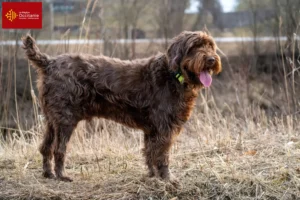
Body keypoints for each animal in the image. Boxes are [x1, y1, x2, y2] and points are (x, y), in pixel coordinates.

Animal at [22, 30, 221, 181]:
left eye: (210, 46)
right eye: (194, 47)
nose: (211, 59)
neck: (173, 75)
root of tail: (49, 63)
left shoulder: (152, 129)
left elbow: (149, 152)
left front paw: (152, 176)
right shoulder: (164, 128)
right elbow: (161, 155)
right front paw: (166, 178)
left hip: (51, 120)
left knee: (45, 147)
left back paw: (48, 174)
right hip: (65, 120)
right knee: (59, 149)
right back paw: (62, 176)